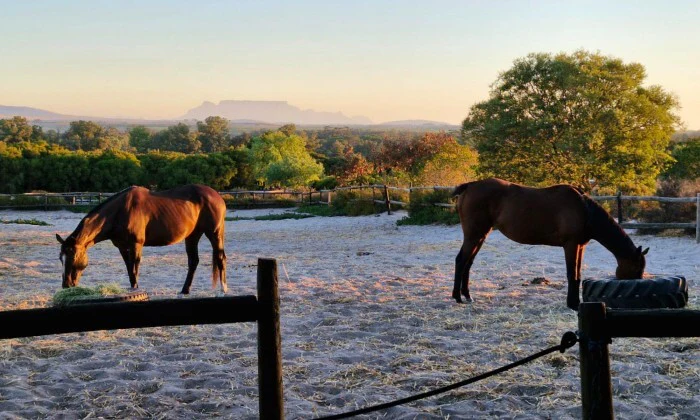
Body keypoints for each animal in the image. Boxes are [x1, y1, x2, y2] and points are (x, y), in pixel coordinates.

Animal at [56, 184, 227, 295]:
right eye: (60, 258)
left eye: (73, 256)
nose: (66, 285)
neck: (120, 211)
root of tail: (217, 196)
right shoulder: (122, 247)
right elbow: (129, 269)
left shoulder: (136, 245)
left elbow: (135, 268)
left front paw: (136, 289)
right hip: (192, 236)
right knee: (193, 261)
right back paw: (185, 290)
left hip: (214, 233)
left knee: (220, 257)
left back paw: (223, 289)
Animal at [452, 178, 648, 310]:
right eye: (637, 268)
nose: (636, 294)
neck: (584, 210)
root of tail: (470, 185)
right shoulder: (571, 245)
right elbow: (571, 274)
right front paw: (572, 304)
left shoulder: (580, 246)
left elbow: (577, 273)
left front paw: (575, 302)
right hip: (473, 235)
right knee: (461, 261)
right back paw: (457, 297)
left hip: (480, 236)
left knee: (468, 263)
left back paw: (467, 296)